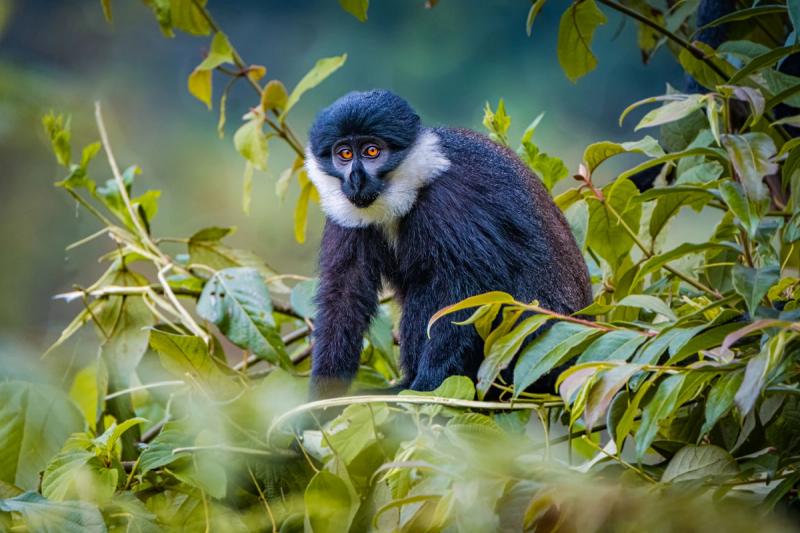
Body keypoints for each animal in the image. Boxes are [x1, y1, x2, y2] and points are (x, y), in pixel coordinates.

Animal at [305, 90, 592, 399]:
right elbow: (345, 293)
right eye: (344, 154)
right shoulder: (344, 213)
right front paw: (321, 398)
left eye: (372, 151)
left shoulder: (449, 200)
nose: (355, 179)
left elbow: (468, 290)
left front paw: (428, 388)